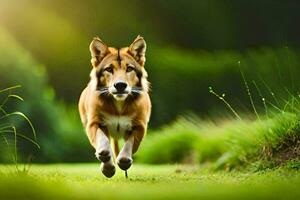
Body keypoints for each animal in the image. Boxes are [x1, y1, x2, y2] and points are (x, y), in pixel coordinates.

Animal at [78, 35, 151, 177]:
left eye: (129, 68)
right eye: (109, 69)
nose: (120, 85)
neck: (119, 105)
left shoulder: (139, 126)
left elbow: (130, 143)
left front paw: (124, 160)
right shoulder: (93, 123)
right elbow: (102, 139)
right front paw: (106, 161)